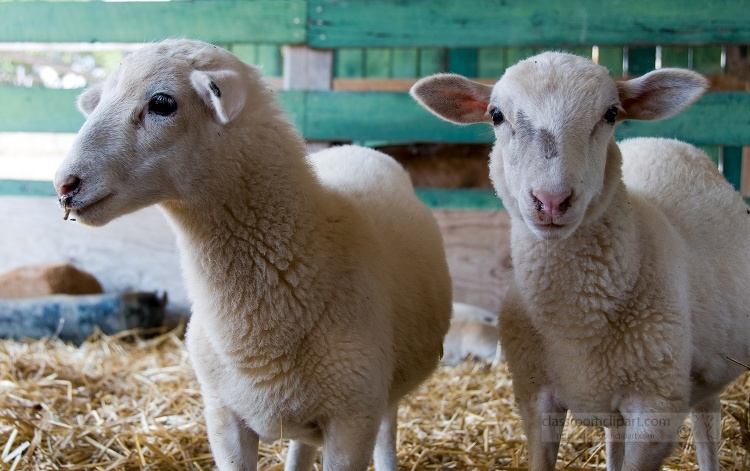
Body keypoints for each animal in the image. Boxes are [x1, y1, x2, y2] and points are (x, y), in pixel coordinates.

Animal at [55, 40, 452, 471]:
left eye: (162, 103)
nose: (64, 185)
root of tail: (356, 149)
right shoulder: (223, 416)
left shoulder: (353, 420)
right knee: (302, 446)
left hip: (383, 392)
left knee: (387, 432)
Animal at [412, 49, 750, 470]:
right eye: (496, 115)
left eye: (610, 113)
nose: (552, 200)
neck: (577, 324)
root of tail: (666, 140)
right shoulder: (535, 399)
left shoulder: (655, 411)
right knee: (615, 439)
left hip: (703, 375)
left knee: (706, 428)